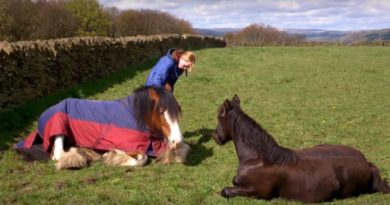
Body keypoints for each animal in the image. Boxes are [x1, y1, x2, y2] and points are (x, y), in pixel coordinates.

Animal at [14, 85, 190, 169]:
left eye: (178, 110)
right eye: (161, 111)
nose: (177, 141)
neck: (135, 115)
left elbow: (184, 151)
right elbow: (141, 159)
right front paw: (112, 155)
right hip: (59, 124)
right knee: (57, 154)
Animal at [213, 95, 390, 203]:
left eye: (219, 115)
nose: (216, 137)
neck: (258, 158)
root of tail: (367, 164)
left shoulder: (258, 192)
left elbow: (226, 190)